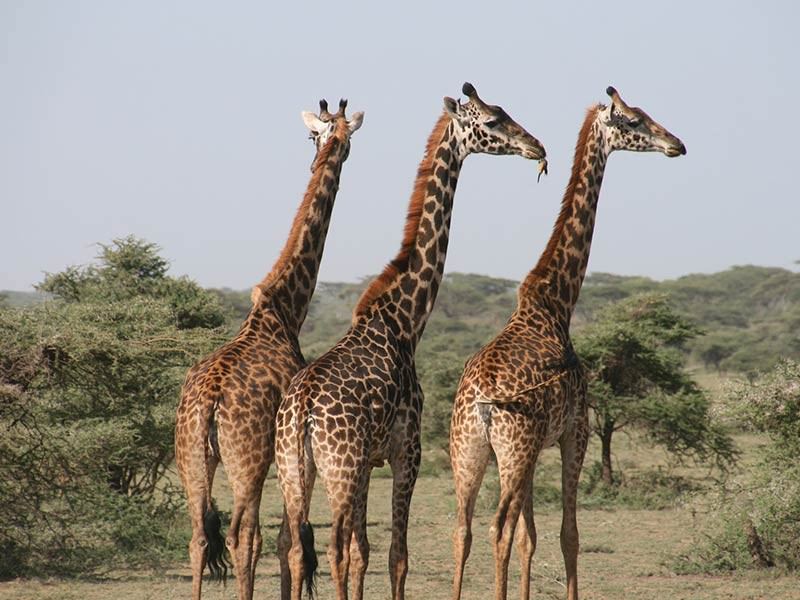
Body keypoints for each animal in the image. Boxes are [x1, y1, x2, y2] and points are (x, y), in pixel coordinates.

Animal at [174, 98, 363, 600]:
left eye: (319, 135)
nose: (330, 154)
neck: (284, 310)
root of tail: (210, 401)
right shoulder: (285, 456)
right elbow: (285, 540)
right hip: (248, 460)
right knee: (243, 535)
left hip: (190, 457)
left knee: (198, 537)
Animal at [274, 82, 547, 600]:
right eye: (493, 120)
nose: (537, 147)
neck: (405, 320)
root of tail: (300, 411)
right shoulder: (408, 450)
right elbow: (395, 555)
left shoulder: (370, 462)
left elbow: (364, 552)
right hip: (339, 470)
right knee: (331, 549)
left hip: (296, 472)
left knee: (297, 549)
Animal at [448, 86, 686, 600]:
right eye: (634, 120)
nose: (676, 143)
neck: (556, 303)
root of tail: (481, 403)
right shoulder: (574, 431)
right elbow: (567, 533)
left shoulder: (539, 445)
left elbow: (531, 537)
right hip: (512, 450)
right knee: (498, 528)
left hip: (469, 452)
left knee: (463, 530)